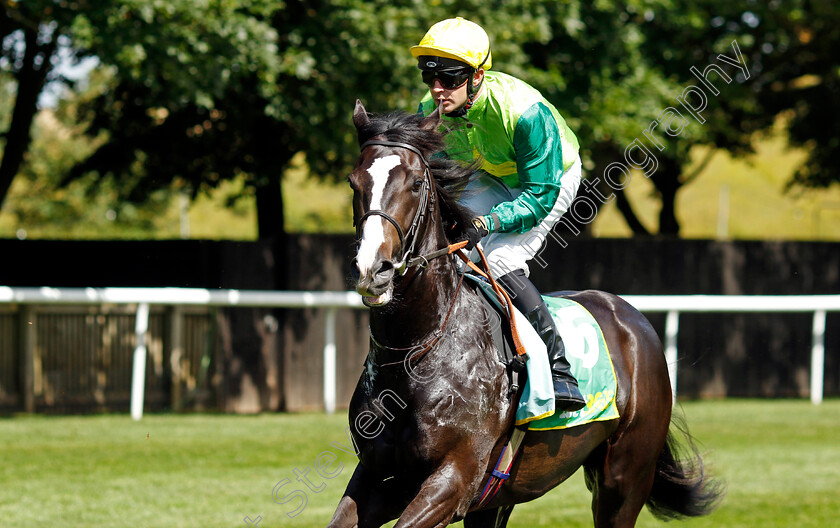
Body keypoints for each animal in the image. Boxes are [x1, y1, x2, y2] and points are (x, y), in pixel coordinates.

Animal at [328, 100, 720, 528]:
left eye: (415, 183)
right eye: (353, 182)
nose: (373, 270)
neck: (416, 349)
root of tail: (632, 318)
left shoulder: (453, 479)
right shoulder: (379, 477)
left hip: (624, 479)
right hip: (499, 499)